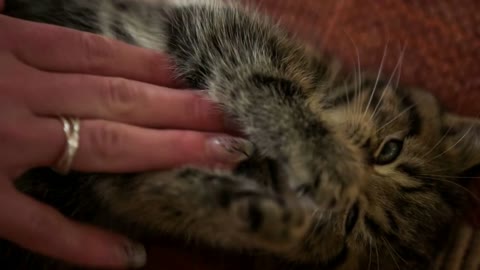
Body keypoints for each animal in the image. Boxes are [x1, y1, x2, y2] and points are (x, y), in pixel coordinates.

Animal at [1, 0, 478, 268]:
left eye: (351, 222)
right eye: (389, 150)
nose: (344, 187)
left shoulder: (121, 183)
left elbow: (152, 191)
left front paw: (256, 214)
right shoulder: (212, 23)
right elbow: (260, 77)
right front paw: (320, 152)